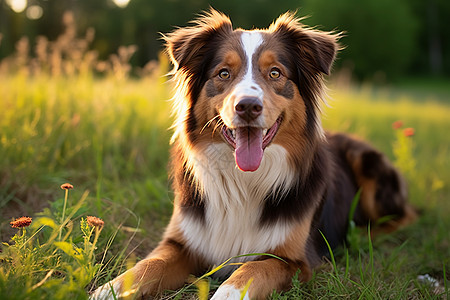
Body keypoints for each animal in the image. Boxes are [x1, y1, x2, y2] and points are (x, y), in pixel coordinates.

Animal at [92, 9, 418, 300]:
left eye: (275, 73)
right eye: (223, 73)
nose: (247, 106)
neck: (242, 181)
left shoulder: (295, 261)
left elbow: (249, 271)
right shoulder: (180, 243)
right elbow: (147, 266)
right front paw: (107, 290)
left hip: (369, 165)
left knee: (406, 216)